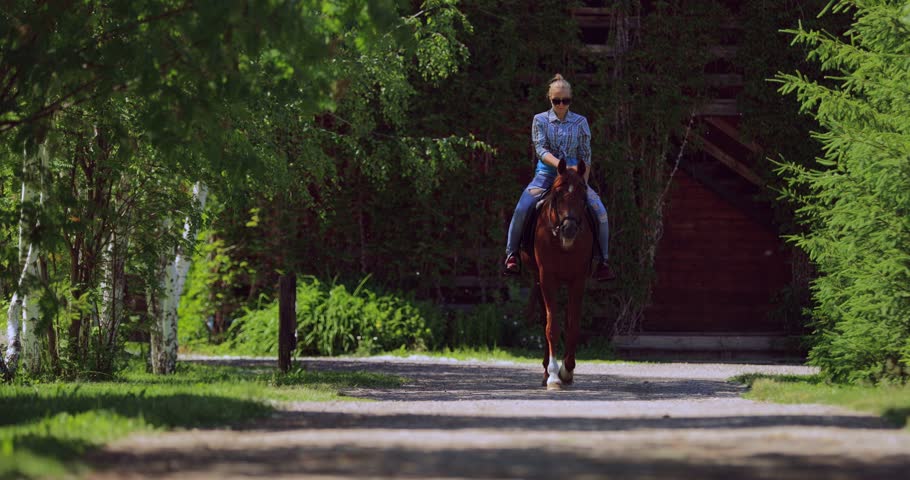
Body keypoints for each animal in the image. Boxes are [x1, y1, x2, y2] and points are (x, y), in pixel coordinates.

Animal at [520, 158, 594, 390]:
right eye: (558, 194)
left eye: (583, 195)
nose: (569, 229)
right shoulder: (547, 278)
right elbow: (551, 327)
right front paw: (554, 376)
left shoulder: (578, 279)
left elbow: (573, 326)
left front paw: (567, 371)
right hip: (539, 279)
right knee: (546, 319)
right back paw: (546, 373)